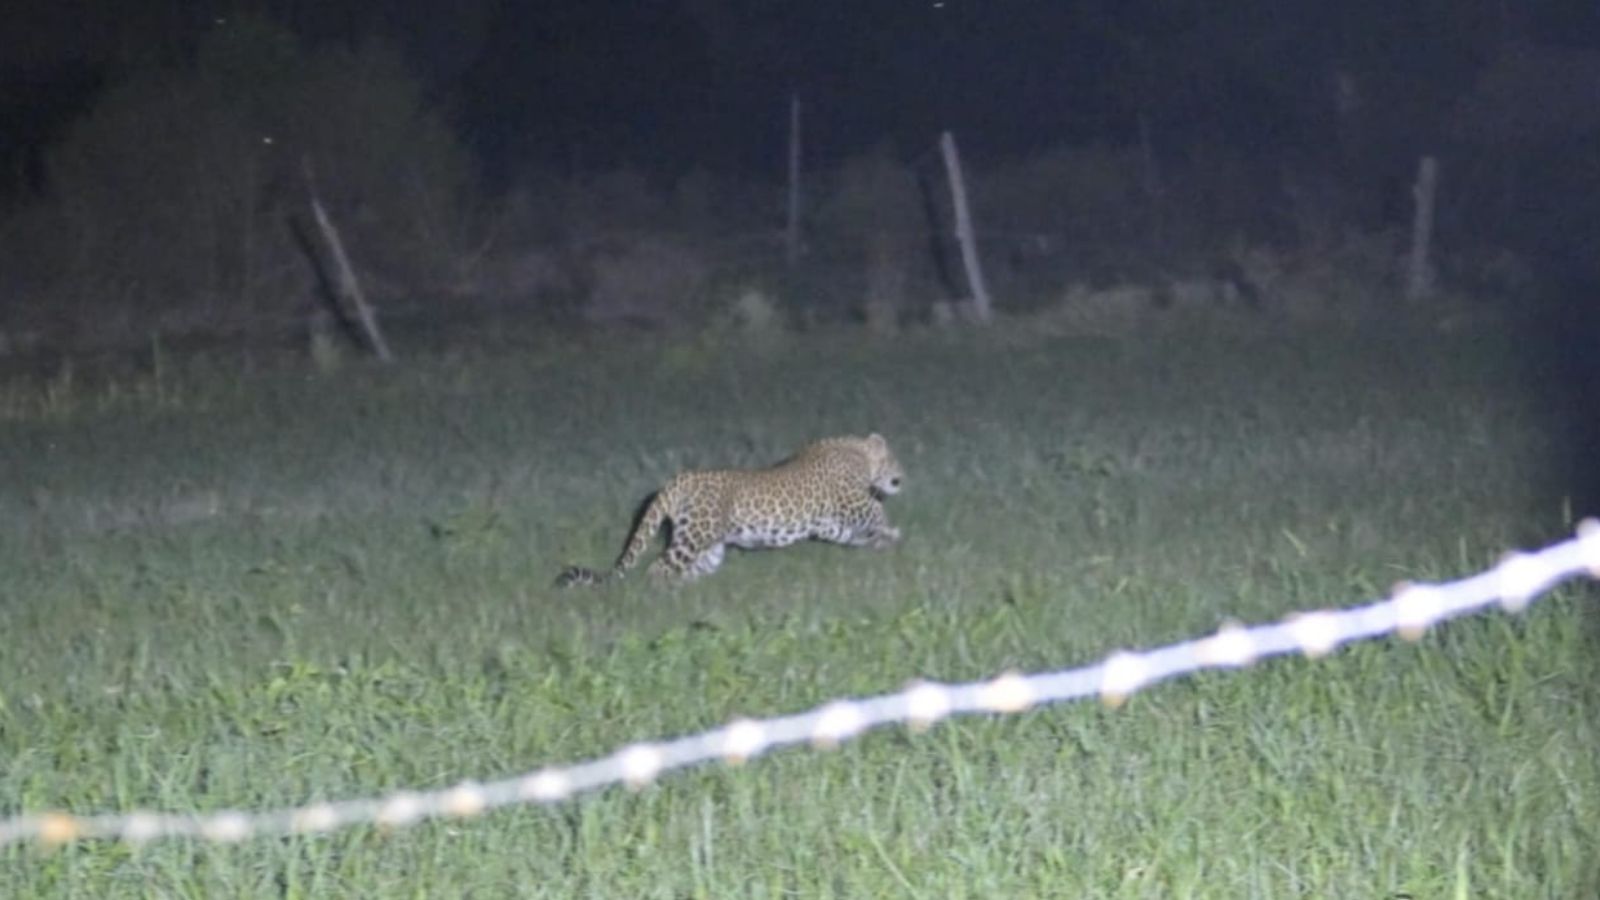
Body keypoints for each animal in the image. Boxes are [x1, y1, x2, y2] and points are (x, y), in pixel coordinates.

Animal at [556, 433, 904, 586]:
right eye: (894, 461)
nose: (902, 477)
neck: (859, 453)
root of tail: (680, 479)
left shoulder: (828, 523)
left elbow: (851, 534)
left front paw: (880, 540)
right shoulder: (851, 501)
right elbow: (875, 510)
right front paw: (891, 531)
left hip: (706, 545)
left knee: (686, 569)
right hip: (695, 536)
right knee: (658, 568)